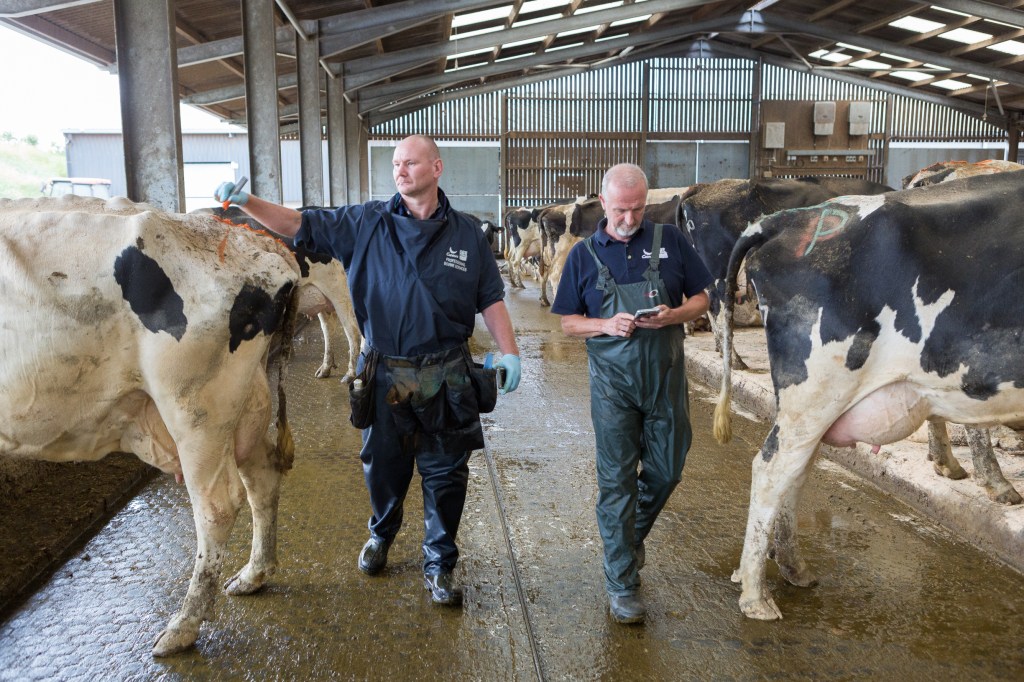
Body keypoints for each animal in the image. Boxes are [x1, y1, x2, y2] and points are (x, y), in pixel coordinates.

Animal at [1, 195, 307, 655]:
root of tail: (253, 243)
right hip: (244, 403)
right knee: (262, 478)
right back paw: (253, 574)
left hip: (194, 406)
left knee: (218, 505)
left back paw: (183, 625)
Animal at [712, 171, 1024, 622]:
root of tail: (788, 219)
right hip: (820, 385)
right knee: (773, 469)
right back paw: (756, 595)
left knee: (795, 469)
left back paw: (792, 567)